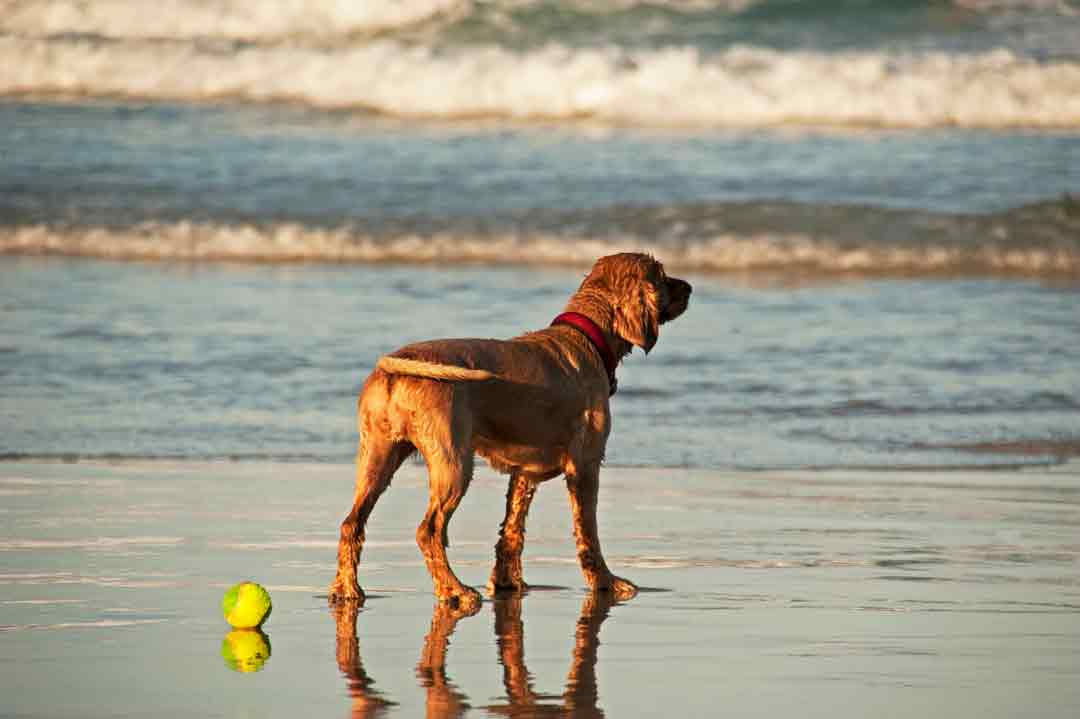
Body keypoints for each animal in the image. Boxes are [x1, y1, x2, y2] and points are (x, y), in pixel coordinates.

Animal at [328, 251, 695, 604]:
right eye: (662, 276)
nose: (690, 287)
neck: (585, 340)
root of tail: (398, 365)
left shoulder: (524, 473)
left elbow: (511, 533)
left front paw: (507, 583)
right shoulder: (585, 467)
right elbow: (588, 534)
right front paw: (606, 582)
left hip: (378, 458)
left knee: (351, 523)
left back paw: (347, 589)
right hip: (453, 464)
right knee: (428, 531)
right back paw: (454, 590)